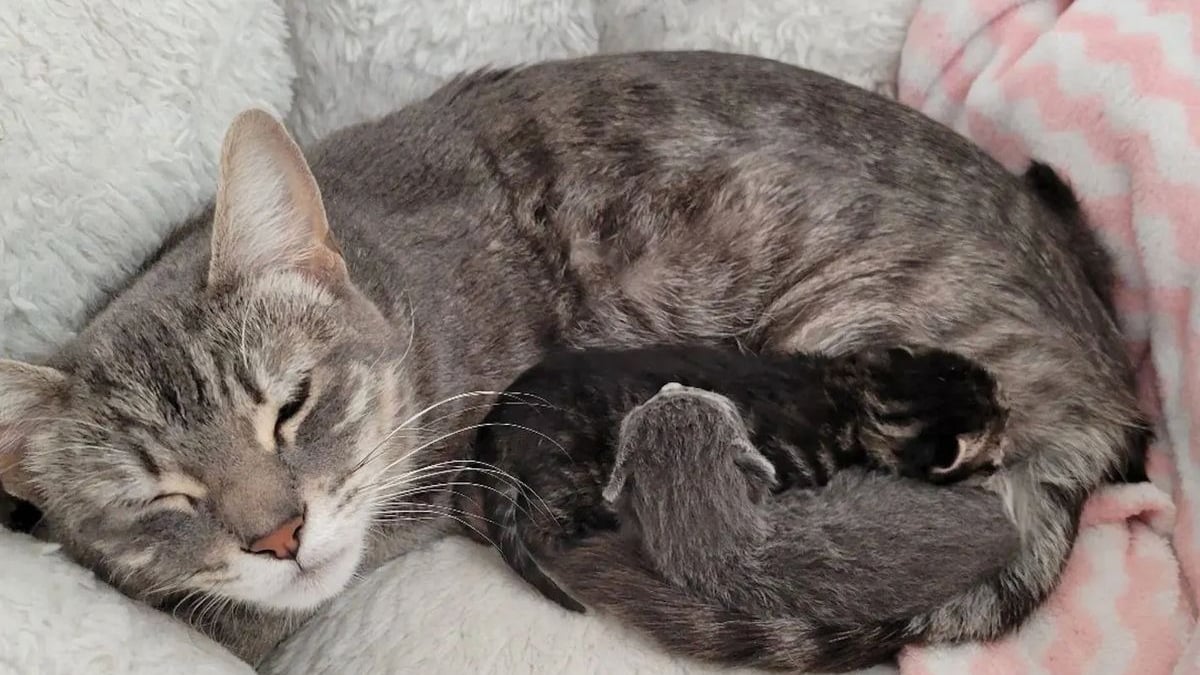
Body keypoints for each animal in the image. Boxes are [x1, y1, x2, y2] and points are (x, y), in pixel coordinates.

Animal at [463, 345, 1017, 629]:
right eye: (999, 425)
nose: (1013, 424)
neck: (857, 398)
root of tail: (504, 419)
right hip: (570, 474)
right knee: (543, 526)